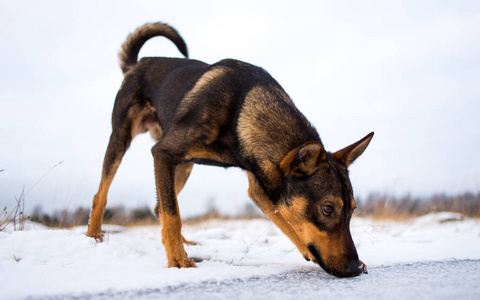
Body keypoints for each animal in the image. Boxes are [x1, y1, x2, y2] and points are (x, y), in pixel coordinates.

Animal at [88, 22, 376, 278]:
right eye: (327, 209)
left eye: (352, 210)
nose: (353, 268)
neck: (243, 111)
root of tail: (137, 64)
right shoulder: (163, 153)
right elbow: (173, 215)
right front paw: (177, 261)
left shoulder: (259, 185)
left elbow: (285, 219)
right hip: (122, 141)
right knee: (103, 194)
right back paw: (94, 236)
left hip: (184, 166)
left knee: (159, 207)